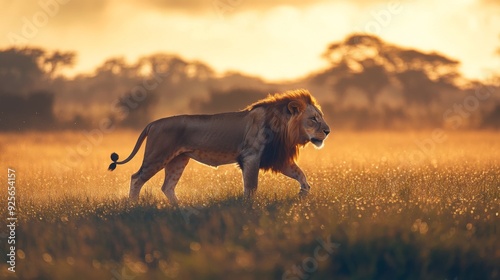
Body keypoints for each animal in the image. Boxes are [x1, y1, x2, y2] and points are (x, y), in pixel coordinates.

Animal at [107, 89, 330, 203]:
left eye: (320, 117)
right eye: (314, 119)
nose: (328, 131)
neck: (283, 127)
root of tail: (153, 123)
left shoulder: (277, 158)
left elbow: (301, 175)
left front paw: (303, 194)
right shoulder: (251, 156)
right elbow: (251, 186)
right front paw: (249, 207)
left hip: (178, 160)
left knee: (167, 186)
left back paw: (179, 209)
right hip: (158, 156)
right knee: (136, 178)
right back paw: (133, 206)